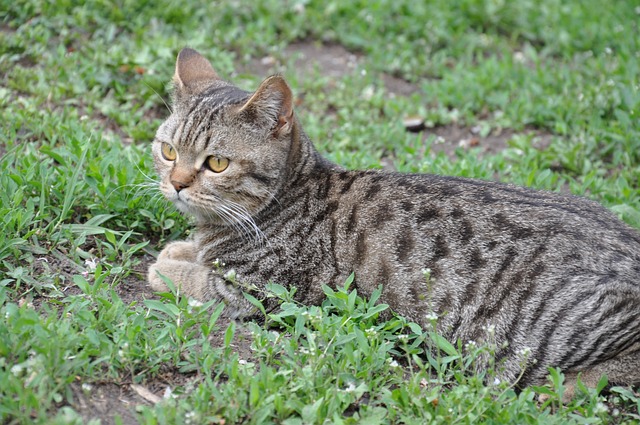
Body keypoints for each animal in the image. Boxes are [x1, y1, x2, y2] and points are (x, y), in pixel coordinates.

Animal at [150, 48, 640, 396]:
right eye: (168, 151)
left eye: (216, 163)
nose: (175, 183)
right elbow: (198, 253)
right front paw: (182, 248)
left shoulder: (264, 291)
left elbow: (194, 279)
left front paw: (167, 265)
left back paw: (570, 386)